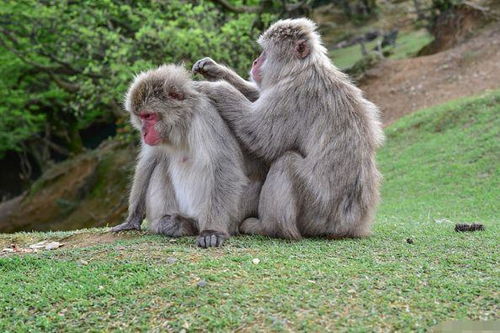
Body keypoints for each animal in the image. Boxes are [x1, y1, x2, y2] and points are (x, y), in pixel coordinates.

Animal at [109, 64, 262, 246]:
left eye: (149, 116)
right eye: (141, 117)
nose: (144, 132)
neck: (182, 123)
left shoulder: (206, 116)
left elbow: (224, 166)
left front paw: (213, 231)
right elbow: (149, 162)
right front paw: (132, 219)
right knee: (160, 166)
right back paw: (175, 223)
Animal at [191, 18, 382, 239]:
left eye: (265, 52)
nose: (255, 62)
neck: (300, 68)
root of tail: (351, 225)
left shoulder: (294, 94)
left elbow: (261, 135)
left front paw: (213, 87)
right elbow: (259, 96)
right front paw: (213, 69)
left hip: (316, 209)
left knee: (286, 163)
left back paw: (269, 227)